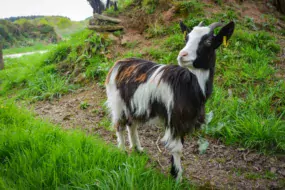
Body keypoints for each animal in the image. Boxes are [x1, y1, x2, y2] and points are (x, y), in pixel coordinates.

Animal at [105, 20, 234, 180]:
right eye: (187, 38)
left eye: (209, 41)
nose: (182, 55)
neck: (189, 84)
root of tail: (119, 63)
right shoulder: (174, 119)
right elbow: (176, 148)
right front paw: (177, 177)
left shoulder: (185, 120)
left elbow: (180, 145)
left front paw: (175, 173)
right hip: (117, 103)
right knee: (119, 125)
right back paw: (122, 151)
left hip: (133, 105)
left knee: (131, 124)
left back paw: (138, 149)